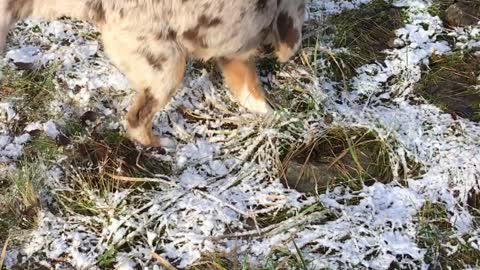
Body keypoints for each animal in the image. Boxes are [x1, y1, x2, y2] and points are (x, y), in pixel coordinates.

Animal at [0, 0, 304, 148]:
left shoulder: (234, 55)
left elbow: (250, 92)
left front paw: (274, 117)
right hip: (167, 66)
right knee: (136, 120)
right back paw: (162, 146)